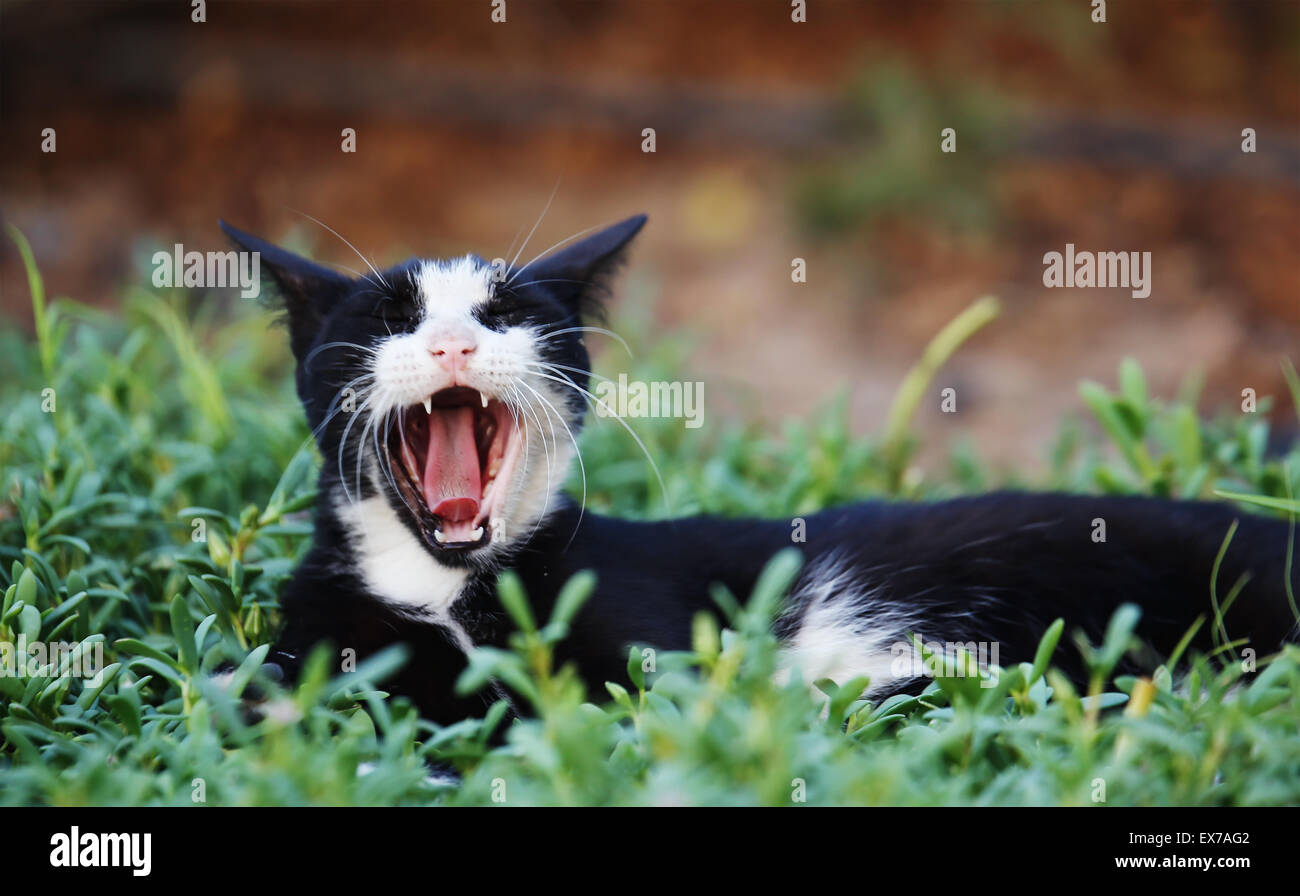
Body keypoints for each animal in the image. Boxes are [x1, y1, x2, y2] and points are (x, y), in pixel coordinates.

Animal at [218, 217, 1294, 728]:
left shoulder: (648, 657)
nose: (449, 343)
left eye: (506, 313)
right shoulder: (319, 629)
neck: (447, 587)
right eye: (390, 320)